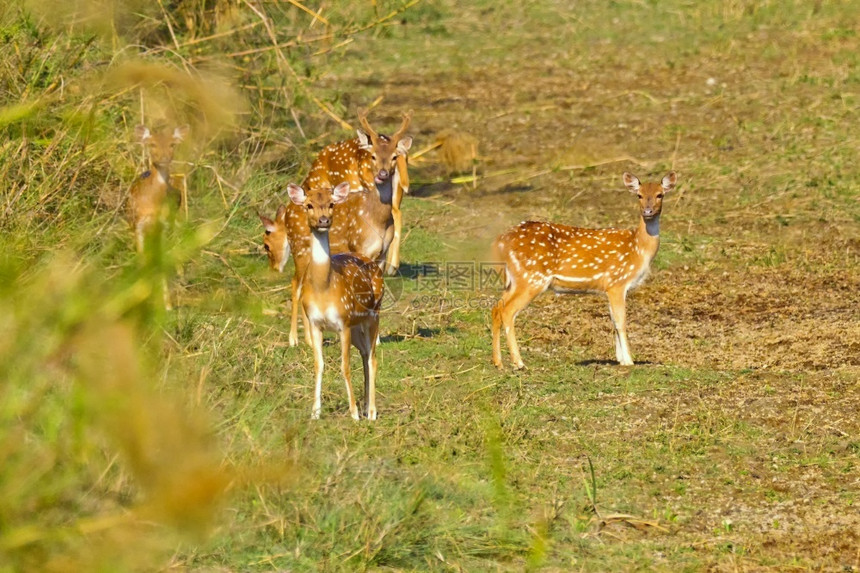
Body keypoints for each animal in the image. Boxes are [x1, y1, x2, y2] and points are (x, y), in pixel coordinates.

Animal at [258, 110, 414, 344]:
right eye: (373, 156)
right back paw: (296, 339)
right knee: (296, 285)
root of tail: (291, 210)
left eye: (266, 244)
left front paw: (375, 338)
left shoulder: (380, 253)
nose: (383, 173)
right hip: (301, 249)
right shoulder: (358, 247)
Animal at [288, 183, 384, 420]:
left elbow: (344, 366)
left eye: (331, 204)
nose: (323, 220)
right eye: (309, 205)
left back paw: (371, 411)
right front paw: (315, 412)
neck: (324, 289)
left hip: (373, 314)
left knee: (372, 358)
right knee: (365, 354)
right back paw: (367, 405)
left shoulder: (343, 323)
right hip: (358, 325)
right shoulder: (315, 324)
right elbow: (319, 365)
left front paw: (354, 413)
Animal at [490, 171, 680, 366]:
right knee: (507, 311)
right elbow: (621, 321)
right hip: (531, 278)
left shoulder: (609, 288)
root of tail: (498, 242)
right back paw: (519, 363)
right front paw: (628, 361)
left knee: (496, 308)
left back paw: (498, 363)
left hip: (515, 280)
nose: (647, 211)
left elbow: (613, 320)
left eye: (660, 195)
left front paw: (620, 359)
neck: (637, 248)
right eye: (639, 195)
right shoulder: (617, 282)